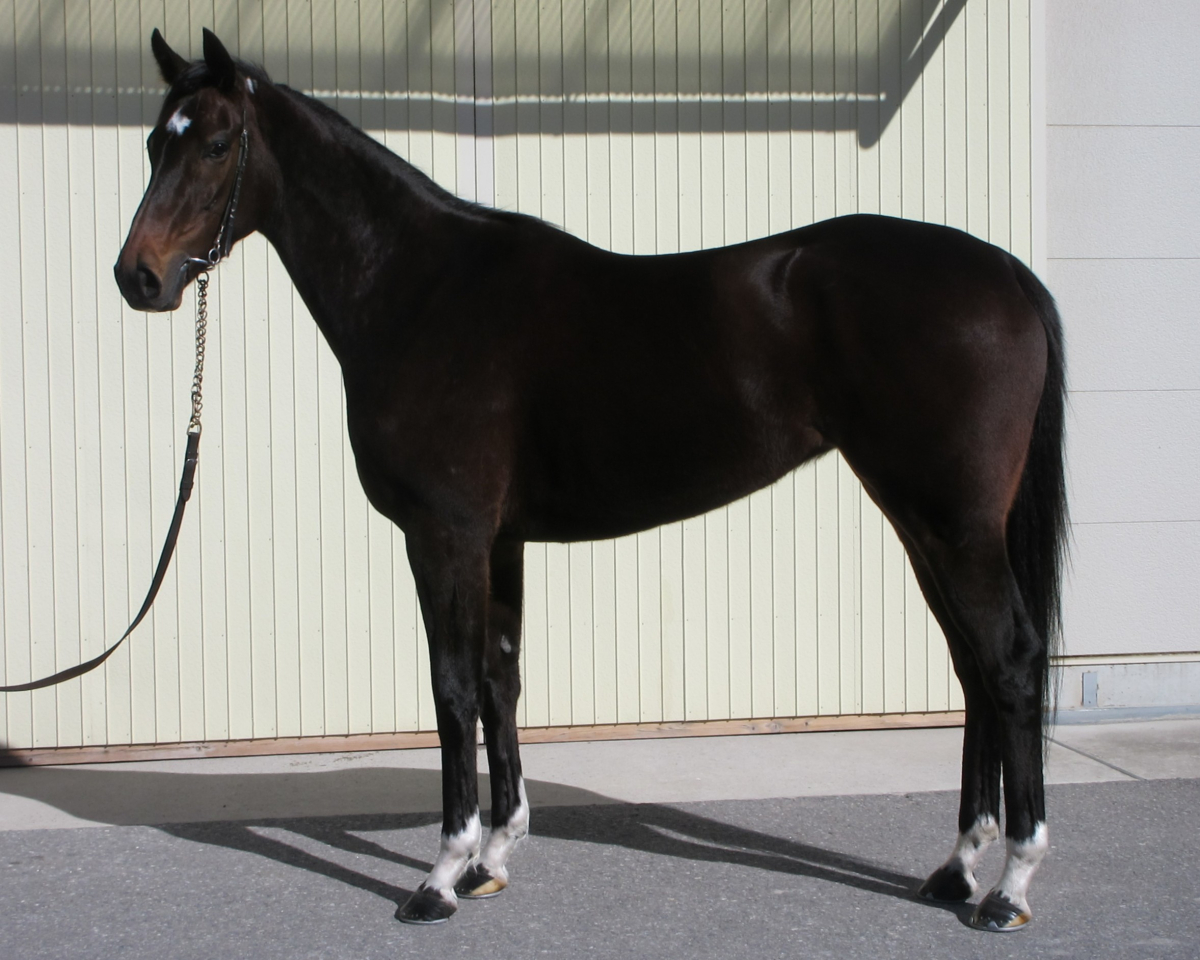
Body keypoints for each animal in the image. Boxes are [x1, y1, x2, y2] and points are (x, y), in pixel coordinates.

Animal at [115, 29, 1067, 932]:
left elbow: (452, 688)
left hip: (952, 524)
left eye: (217, 143)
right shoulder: (498, 540)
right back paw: (956, 869)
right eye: (154, 143)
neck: (422, 290)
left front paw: (439, 878)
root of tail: (1005, 272)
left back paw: (1010, 887)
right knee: (973, 666)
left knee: (1010, 661)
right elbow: (499, 681)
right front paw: (493, 858)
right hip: (923, 521)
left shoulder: (444, 534)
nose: (138, 276)